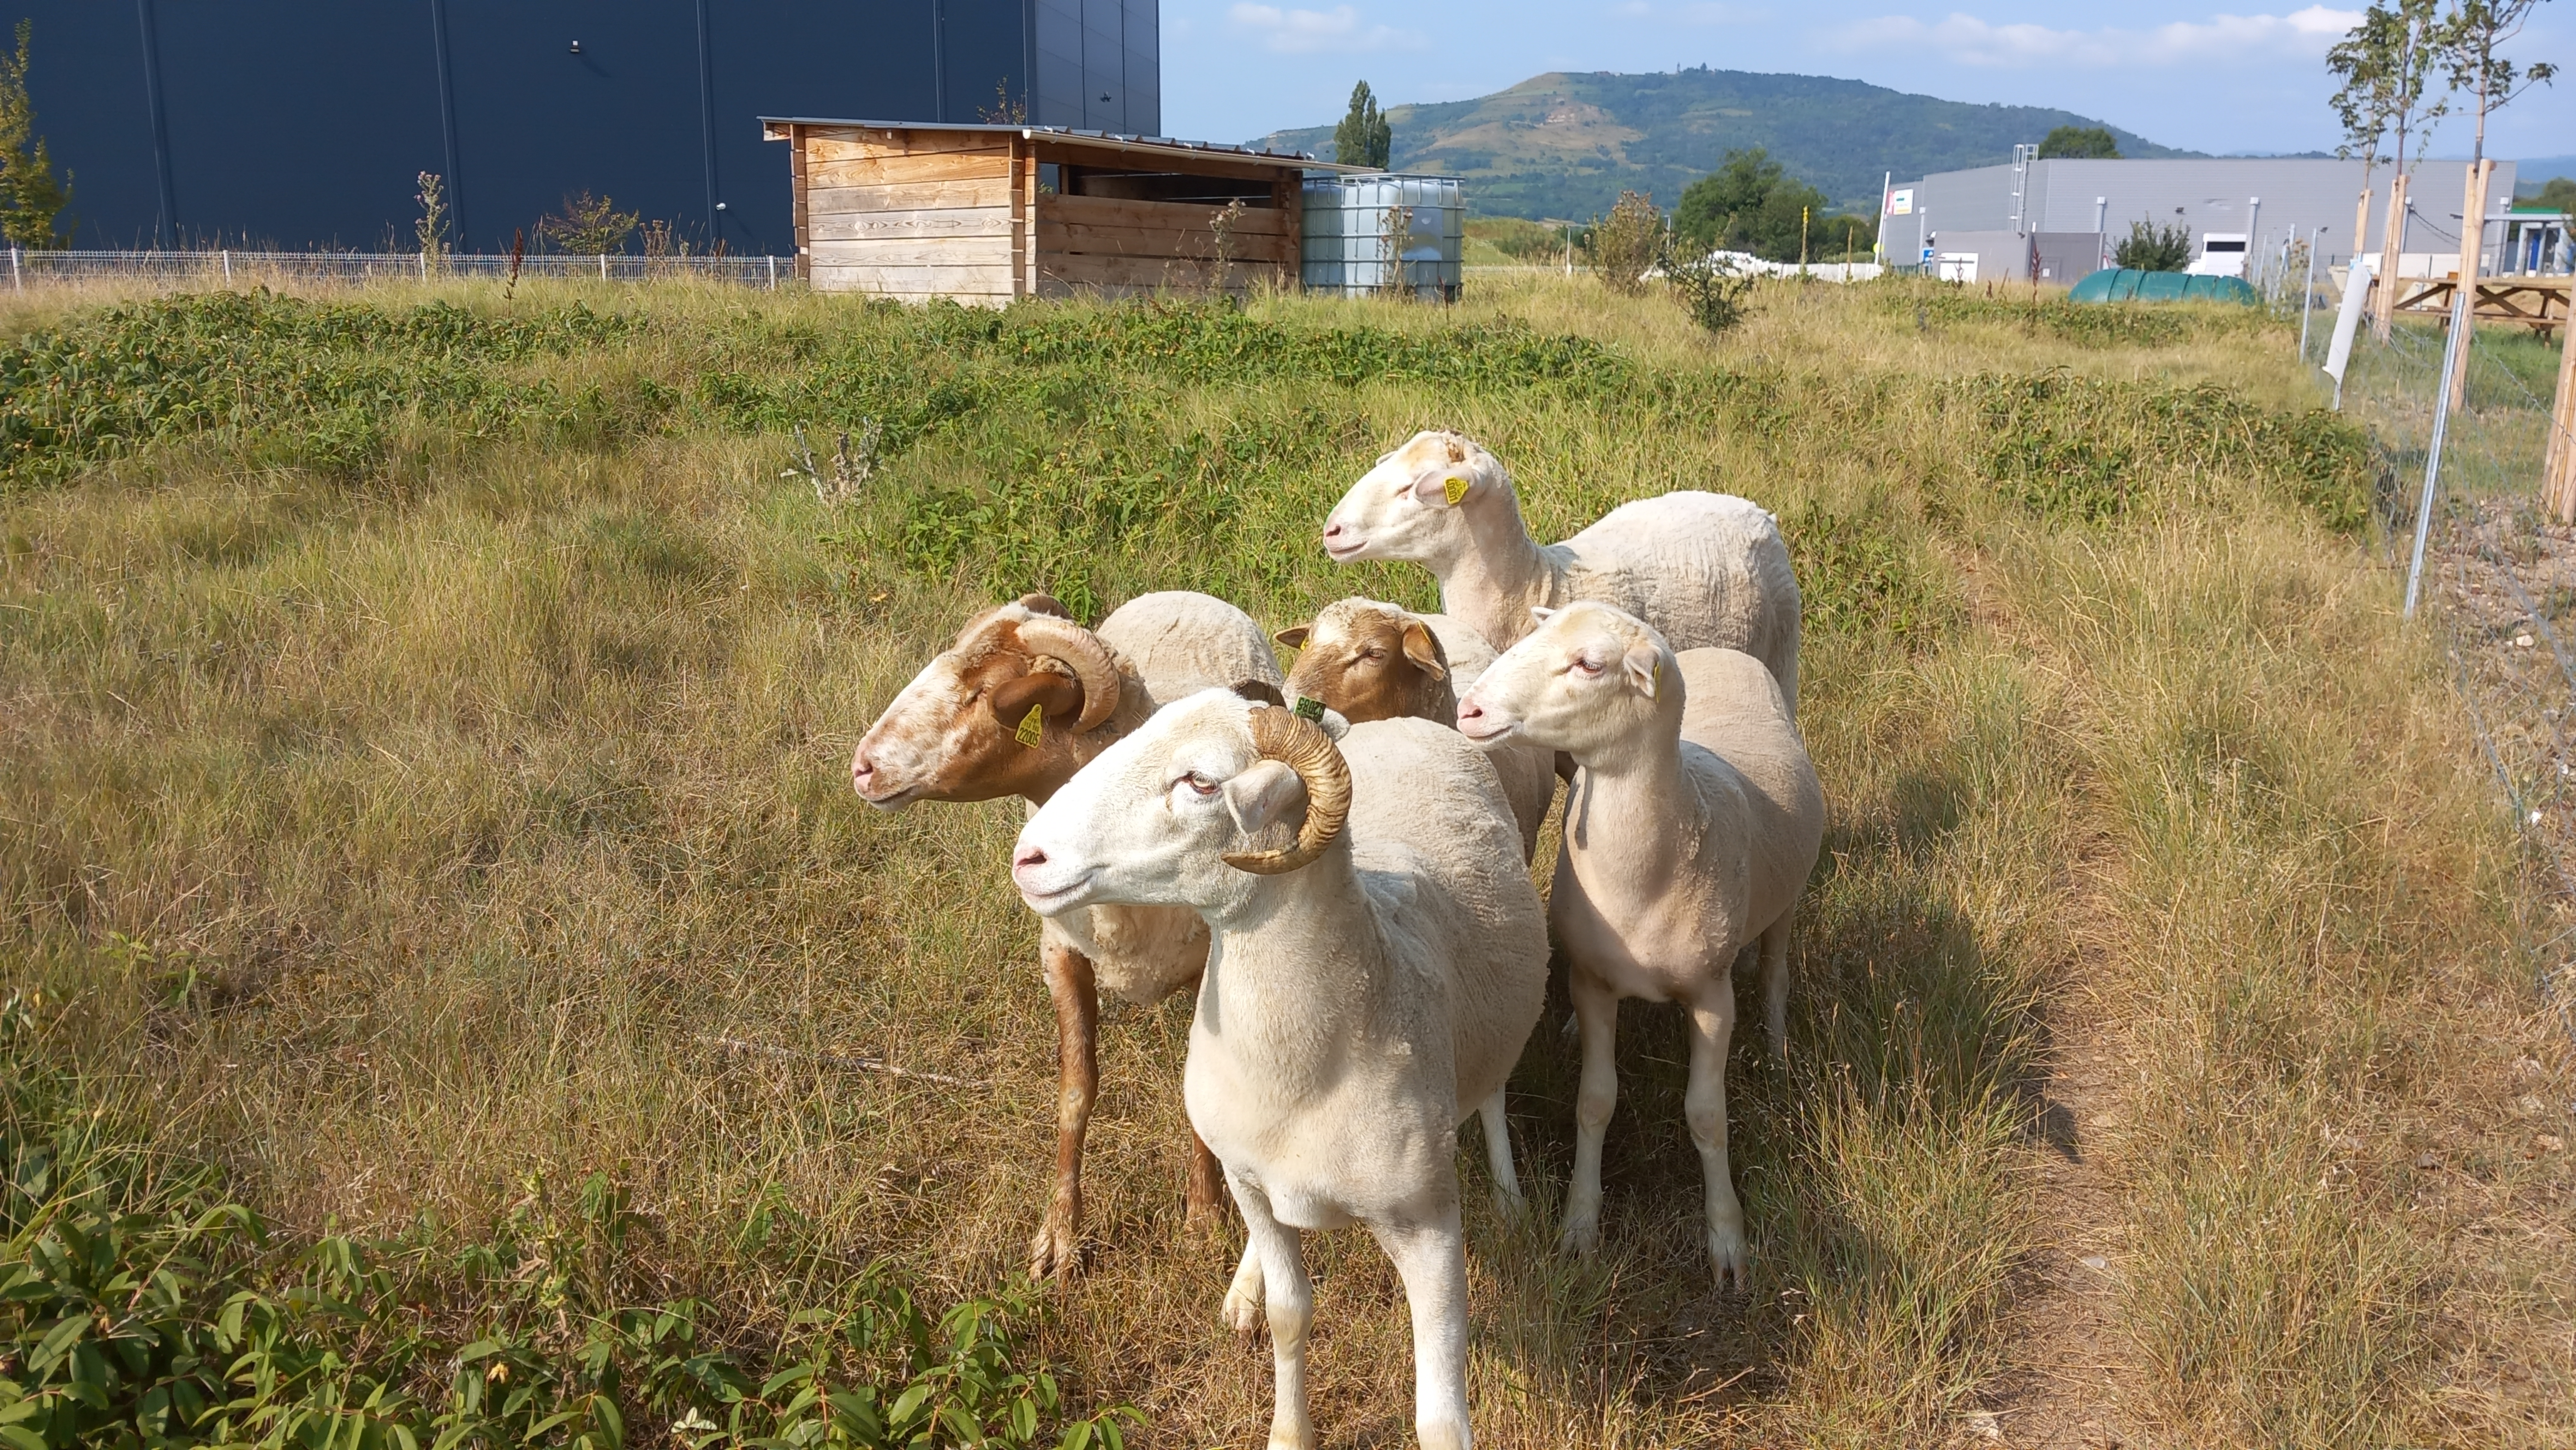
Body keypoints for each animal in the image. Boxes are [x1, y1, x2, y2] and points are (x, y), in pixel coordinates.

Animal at [849, 590, 1284, 1279]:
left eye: (980, 691)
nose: (863, 769)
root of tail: (1186, 596)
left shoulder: (1211, 965)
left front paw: (1203, 1219)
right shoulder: (1060, 952)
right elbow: (1076, 1092)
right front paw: (1058, 1239)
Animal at [1010, 690, 1549, 1450]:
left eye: (1201, 781)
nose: (1028, 856)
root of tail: (1411, 723)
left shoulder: (1430, 1224)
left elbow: (1441, 1416)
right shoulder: (1249, 1182)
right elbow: (1291, 1316)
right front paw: (1288, 1427)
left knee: (1495, 1088)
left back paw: (1509, 1198)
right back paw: (1245, 1287)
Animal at [1455, 602, 1824, 1288]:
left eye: (1590, 664)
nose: (1469, 709)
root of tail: (1719, 651)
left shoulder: (1712, 997)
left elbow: (1707, 1117)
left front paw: (1727, 1239)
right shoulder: (1593, 983)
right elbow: (1594, 1103)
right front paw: (1579, 1226)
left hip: (1787, 901)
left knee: (1775, 975)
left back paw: (1777, 1051)